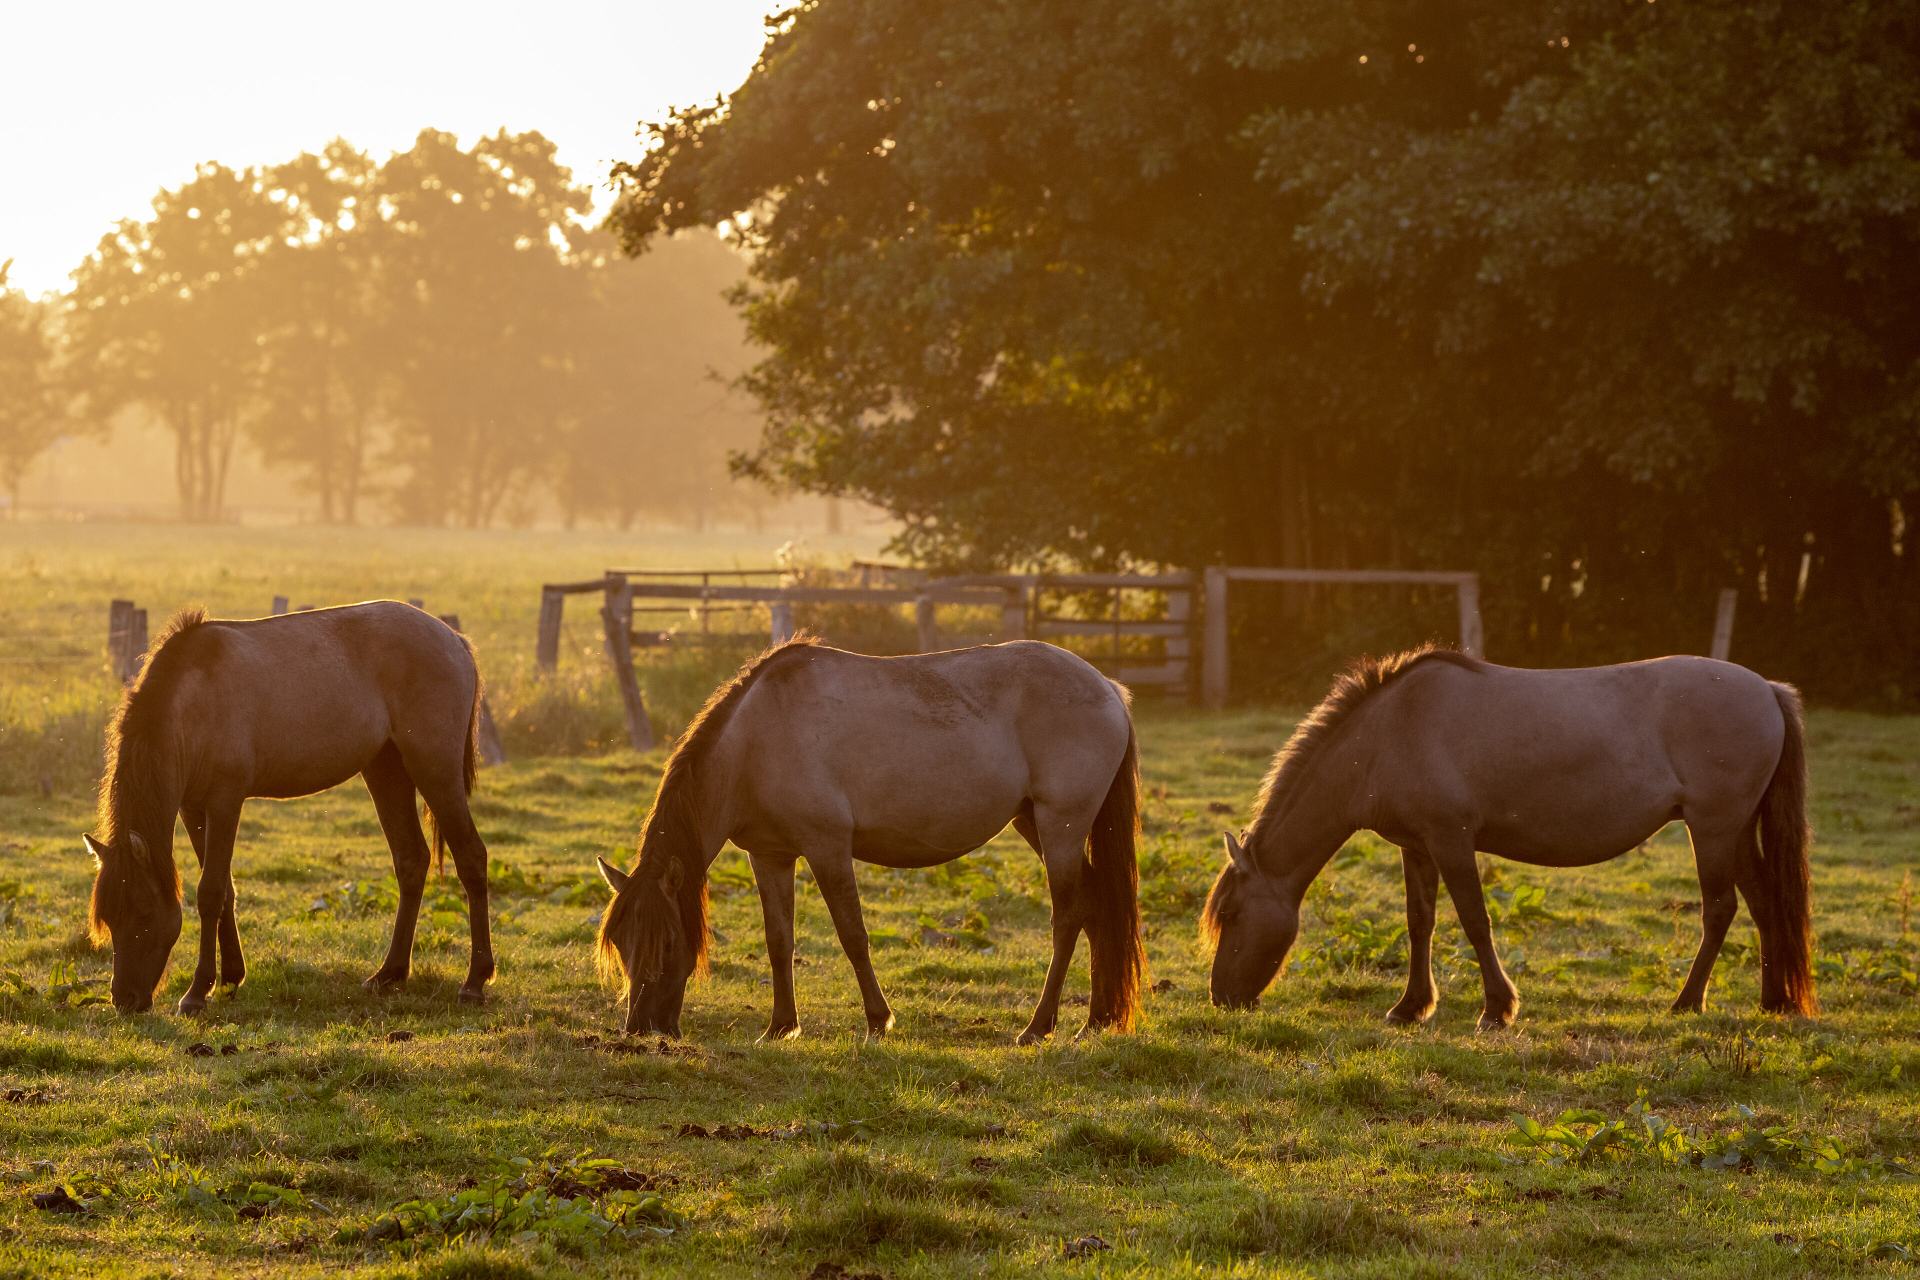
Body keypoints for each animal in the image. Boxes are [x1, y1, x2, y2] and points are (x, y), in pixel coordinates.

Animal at [83, 602, 495, 1014]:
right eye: (109, 917)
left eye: (143, 913)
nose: (125, 999)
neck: (193, 701)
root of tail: (454, 640)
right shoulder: (192, 808)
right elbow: (225, 889)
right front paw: (231, 975)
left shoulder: (225, 802)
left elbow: (210, 892)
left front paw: (198, 991)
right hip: (386, 770)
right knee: (411, 861)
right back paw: (389, 973)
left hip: (435, 770)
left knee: (471, 857)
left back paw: (475, 981)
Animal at [594, 636, 1145, 1044]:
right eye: (620, 942)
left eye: (668, 941)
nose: (641, 1028)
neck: (756, 739)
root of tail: (1109, 688)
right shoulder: (770, 856)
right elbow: (778, 940)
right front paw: (780, 1027)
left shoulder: (828, 848)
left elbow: (853, 935)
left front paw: (879, 1021)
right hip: (1032, 821)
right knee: (1096, 905)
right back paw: (1096, 1021)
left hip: (1060, 826)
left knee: (1068, 915)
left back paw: (1037, 1027)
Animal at [1201, 647, 1815, 1028]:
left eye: (1230, 913)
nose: (1221, 998)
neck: (1389, 733)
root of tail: (1767, 689)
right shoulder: (1416, 846)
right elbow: (1420, 922)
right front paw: (1410, 1007)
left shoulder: (1451, 841)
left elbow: (1475, 920)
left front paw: (1497, 1009)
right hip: (1736, 832)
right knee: (1764, 904)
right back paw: (1774, 1001)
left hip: (1713, 829)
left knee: (1720, 909)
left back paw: (1687, 1003)